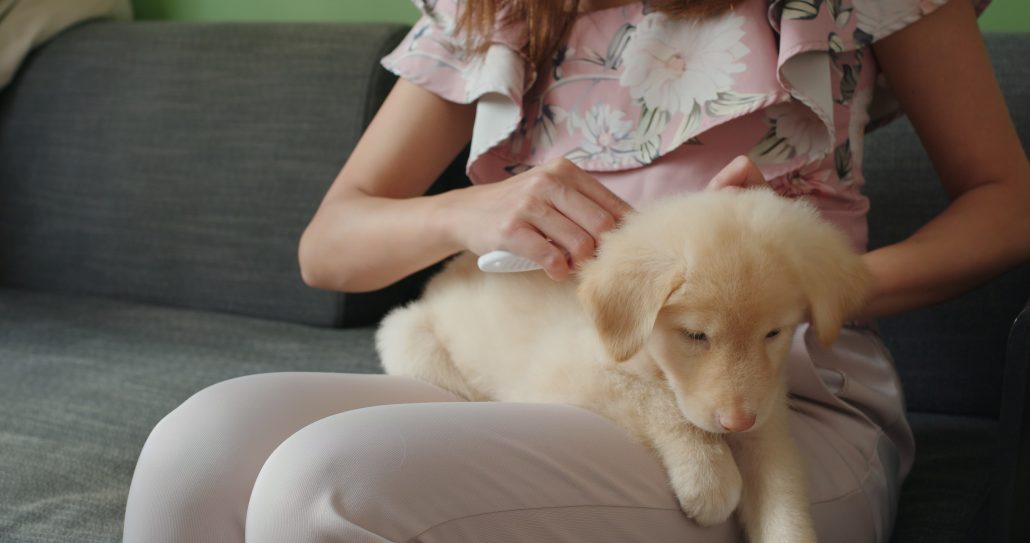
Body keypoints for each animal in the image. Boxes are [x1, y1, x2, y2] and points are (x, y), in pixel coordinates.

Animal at [374, 188, 873, 543]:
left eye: (773, 334)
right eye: (695, 336)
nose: (736, 422)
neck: (650, 356)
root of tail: (444, 275)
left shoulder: (768, 421)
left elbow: (784, 503)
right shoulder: (570, 374)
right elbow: (659, 403)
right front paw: (709, 478)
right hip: (408, 337)